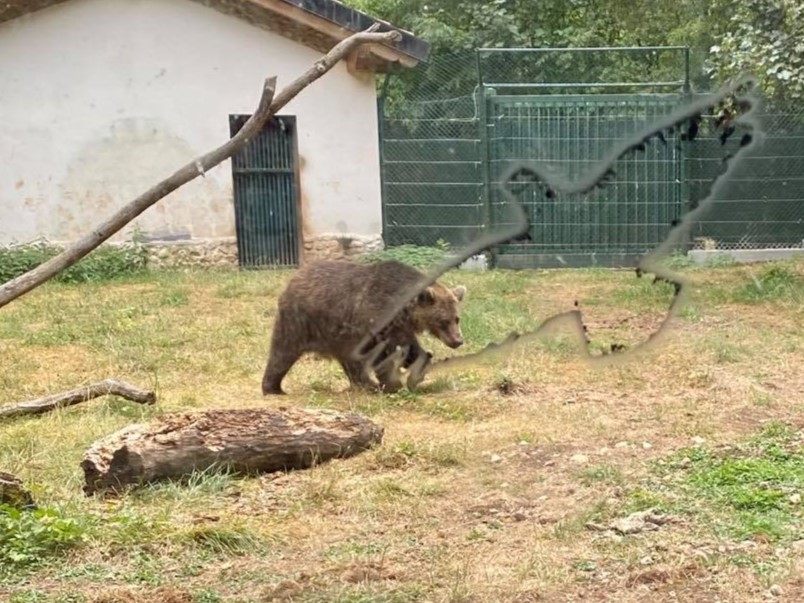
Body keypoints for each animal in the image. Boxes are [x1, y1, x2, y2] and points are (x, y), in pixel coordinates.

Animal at [261, 258, 467, 395]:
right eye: (443, 320)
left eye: (456, 318)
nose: (457, 340)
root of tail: (293, 278)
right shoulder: (376, 318)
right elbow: (384, 356)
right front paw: (393, 384)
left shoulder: (398, 327)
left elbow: (408, 347)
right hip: (301, 322)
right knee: (282, 353)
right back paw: (273, 388)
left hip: (338, 336)